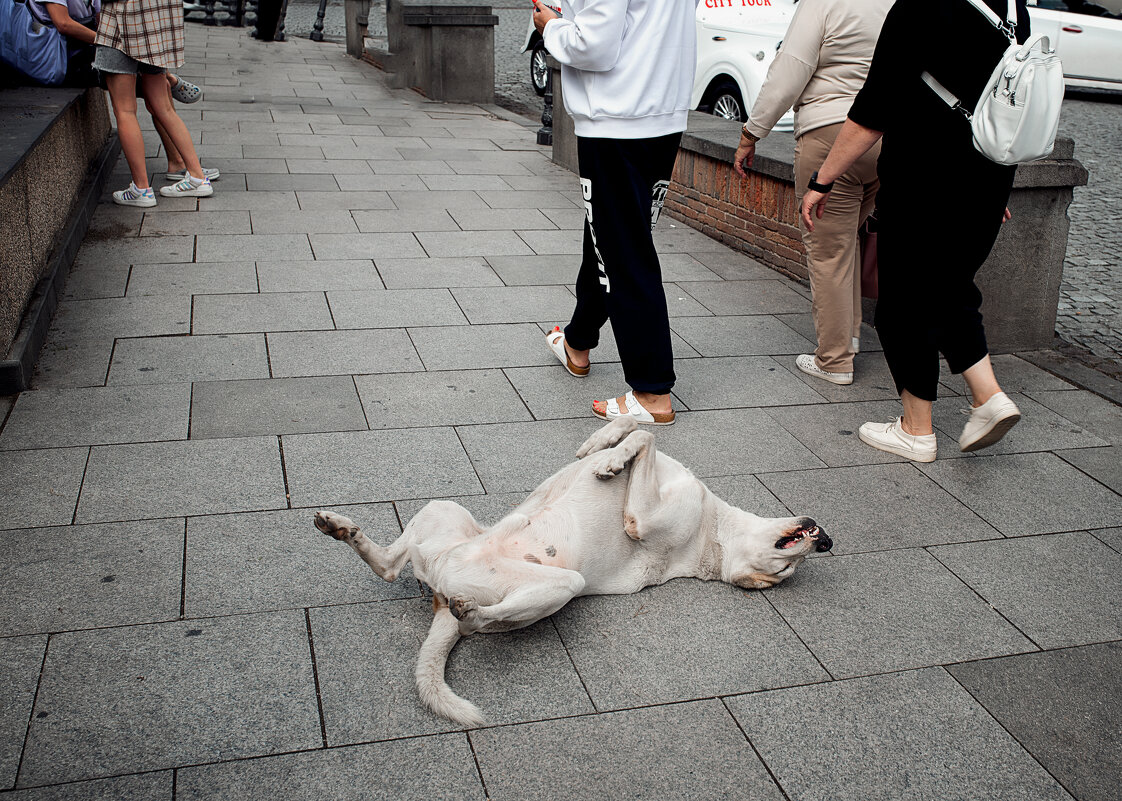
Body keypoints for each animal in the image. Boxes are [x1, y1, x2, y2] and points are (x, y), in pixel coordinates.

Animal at [311, 415, 830, 726]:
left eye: (784, 572)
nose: (824, 541)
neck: (714, 534)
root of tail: (440, 596)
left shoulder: (642, 520)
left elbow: (645, 438)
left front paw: (612, 460)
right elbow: (637, 425)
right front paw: (601, 445)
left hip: (559, 584)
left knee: (480, 618)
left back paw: (468, 612)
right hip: (445, 512)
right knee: (389, 566)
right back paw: (340, 528)